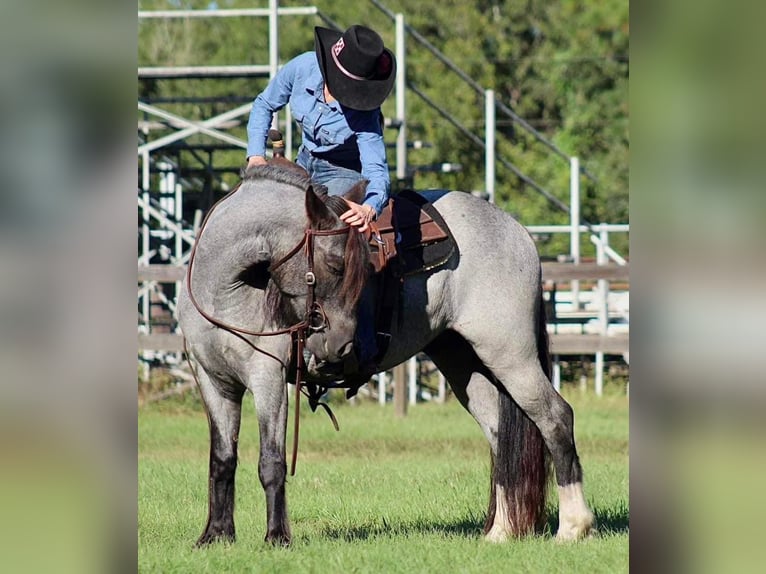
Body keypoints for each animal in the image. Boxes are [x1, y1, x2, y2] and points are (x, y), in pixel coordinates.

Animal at [177, 164, 596, 548]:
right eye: (335, 263)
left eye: (359, 267)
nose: (339, 347)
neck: (227, 289)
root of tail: (517, 231)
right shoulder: (212, 380)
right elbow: (222, 459)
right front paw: (215, 536)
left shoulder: (267, 378)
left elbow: (271, 460)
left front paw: (277, 538)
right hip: (463, 362)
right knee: (499, 436)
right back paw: (501, 532)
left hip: (511, 355)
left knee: (556, 418)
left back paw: (572, 527)